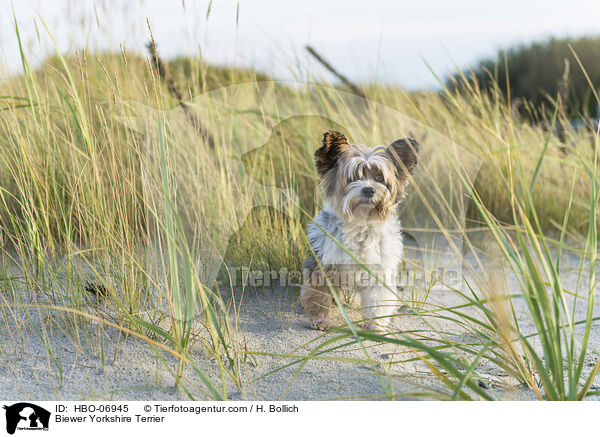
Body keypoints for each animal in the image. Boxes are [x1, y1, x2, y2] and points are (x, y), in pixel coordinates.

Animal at [298, 131, 418, 328]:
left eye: (379, 178)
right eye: (354, 177)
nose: (369, 190)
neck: (361, 223)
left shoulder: (380, 272)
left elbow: (377, 303)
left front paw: (375, 327)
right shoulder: (322, 264)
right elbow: (318, 295)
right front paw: (318, 319)